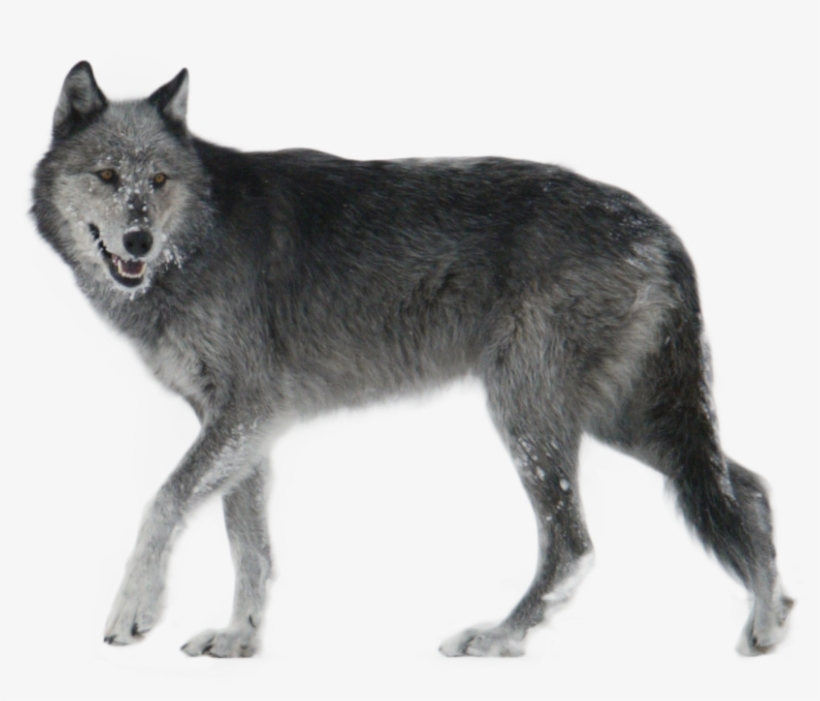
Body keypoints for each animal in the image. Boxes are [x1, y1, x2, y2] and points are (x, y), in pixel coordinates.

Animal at [32, 62, 792, 658]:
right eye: (108, 176)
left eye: (159, 180)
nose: (137, 240)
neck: (201, 237)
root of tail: (660, 227)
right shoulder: (241, 424)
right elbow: (248, 542)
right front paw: (240, 639)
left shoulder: (248, 409)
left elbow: (163, 501)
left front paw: (134, 610)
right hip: (624, 420)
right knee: (748, 487)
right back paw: (769, 623)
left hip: (533, 416)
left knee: (574, 544)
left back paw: (498, 637)